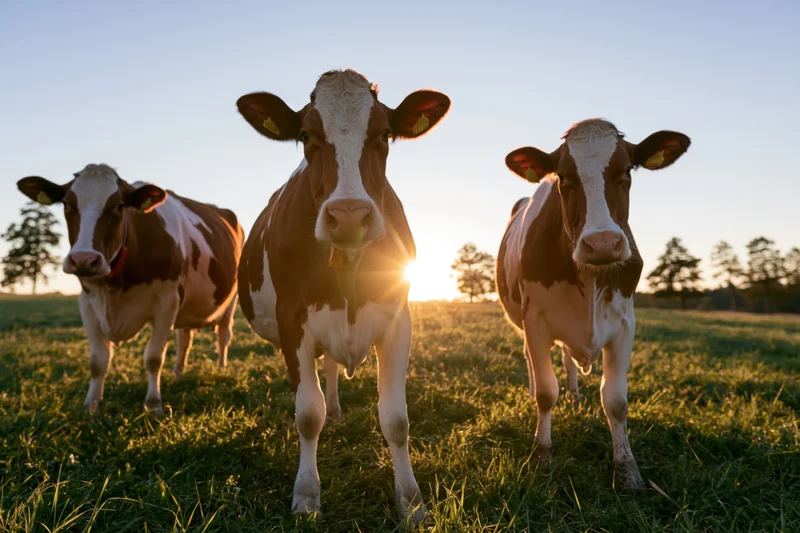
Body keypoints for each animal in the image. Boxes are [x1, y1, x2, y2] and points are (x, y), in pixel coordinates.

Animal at [17, 163, 244, 415]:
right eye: (67, 204)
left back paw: (221, 369)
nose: (84, 260)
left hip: (231, 300)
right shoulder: (87, 303)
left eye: (118, 206)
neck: (114, 288)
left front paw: (154, 405)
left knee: (224, 335)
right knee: (184, 339)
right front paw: (91, 405)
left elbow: (153, 357)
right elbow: (98, 361)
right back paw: (178, 374)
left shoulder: (167, 302)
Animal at [236, 69, 450, 522]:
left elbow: (396, 419)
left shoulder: (398, 320)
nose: (349, 215)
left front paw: (412, 502)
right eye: (305, 135)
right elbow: (307, 413)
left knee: (332, 368)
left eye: (384, 133)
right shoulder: (292, 322)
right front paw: (306, 495)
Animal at [497, 119, 690, 489]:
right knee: (532, 362)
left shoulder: (625, 324)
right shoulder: (535, 321)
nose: (602, 243)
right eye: (562, 176)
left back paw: (574, 398)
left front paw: (627, 469)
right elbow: (546, 392)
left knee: (568, 363)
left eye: (626, 171)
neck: (589, 275)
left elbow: (615, 401)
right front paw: (542, 453)